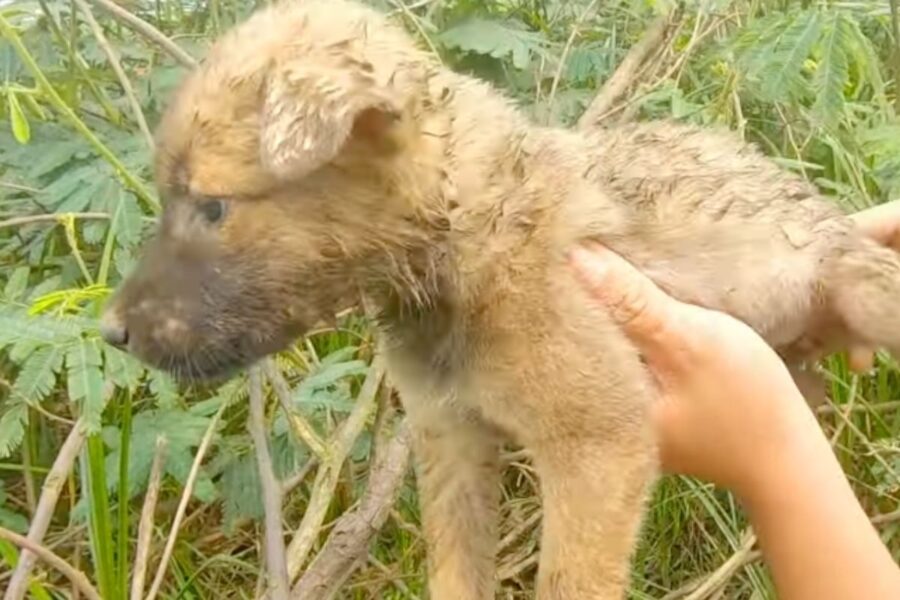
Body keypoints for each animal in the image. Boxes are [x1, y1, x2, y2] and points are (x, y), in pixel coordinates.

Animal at [100, 2, 900, 596]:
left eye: (212, 207)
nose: (112, 332)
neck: (456, 240)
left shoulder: (599, 442)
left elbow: (571, 583)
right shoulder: (448, 433)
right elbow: (456, 573)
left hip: (861, 287)